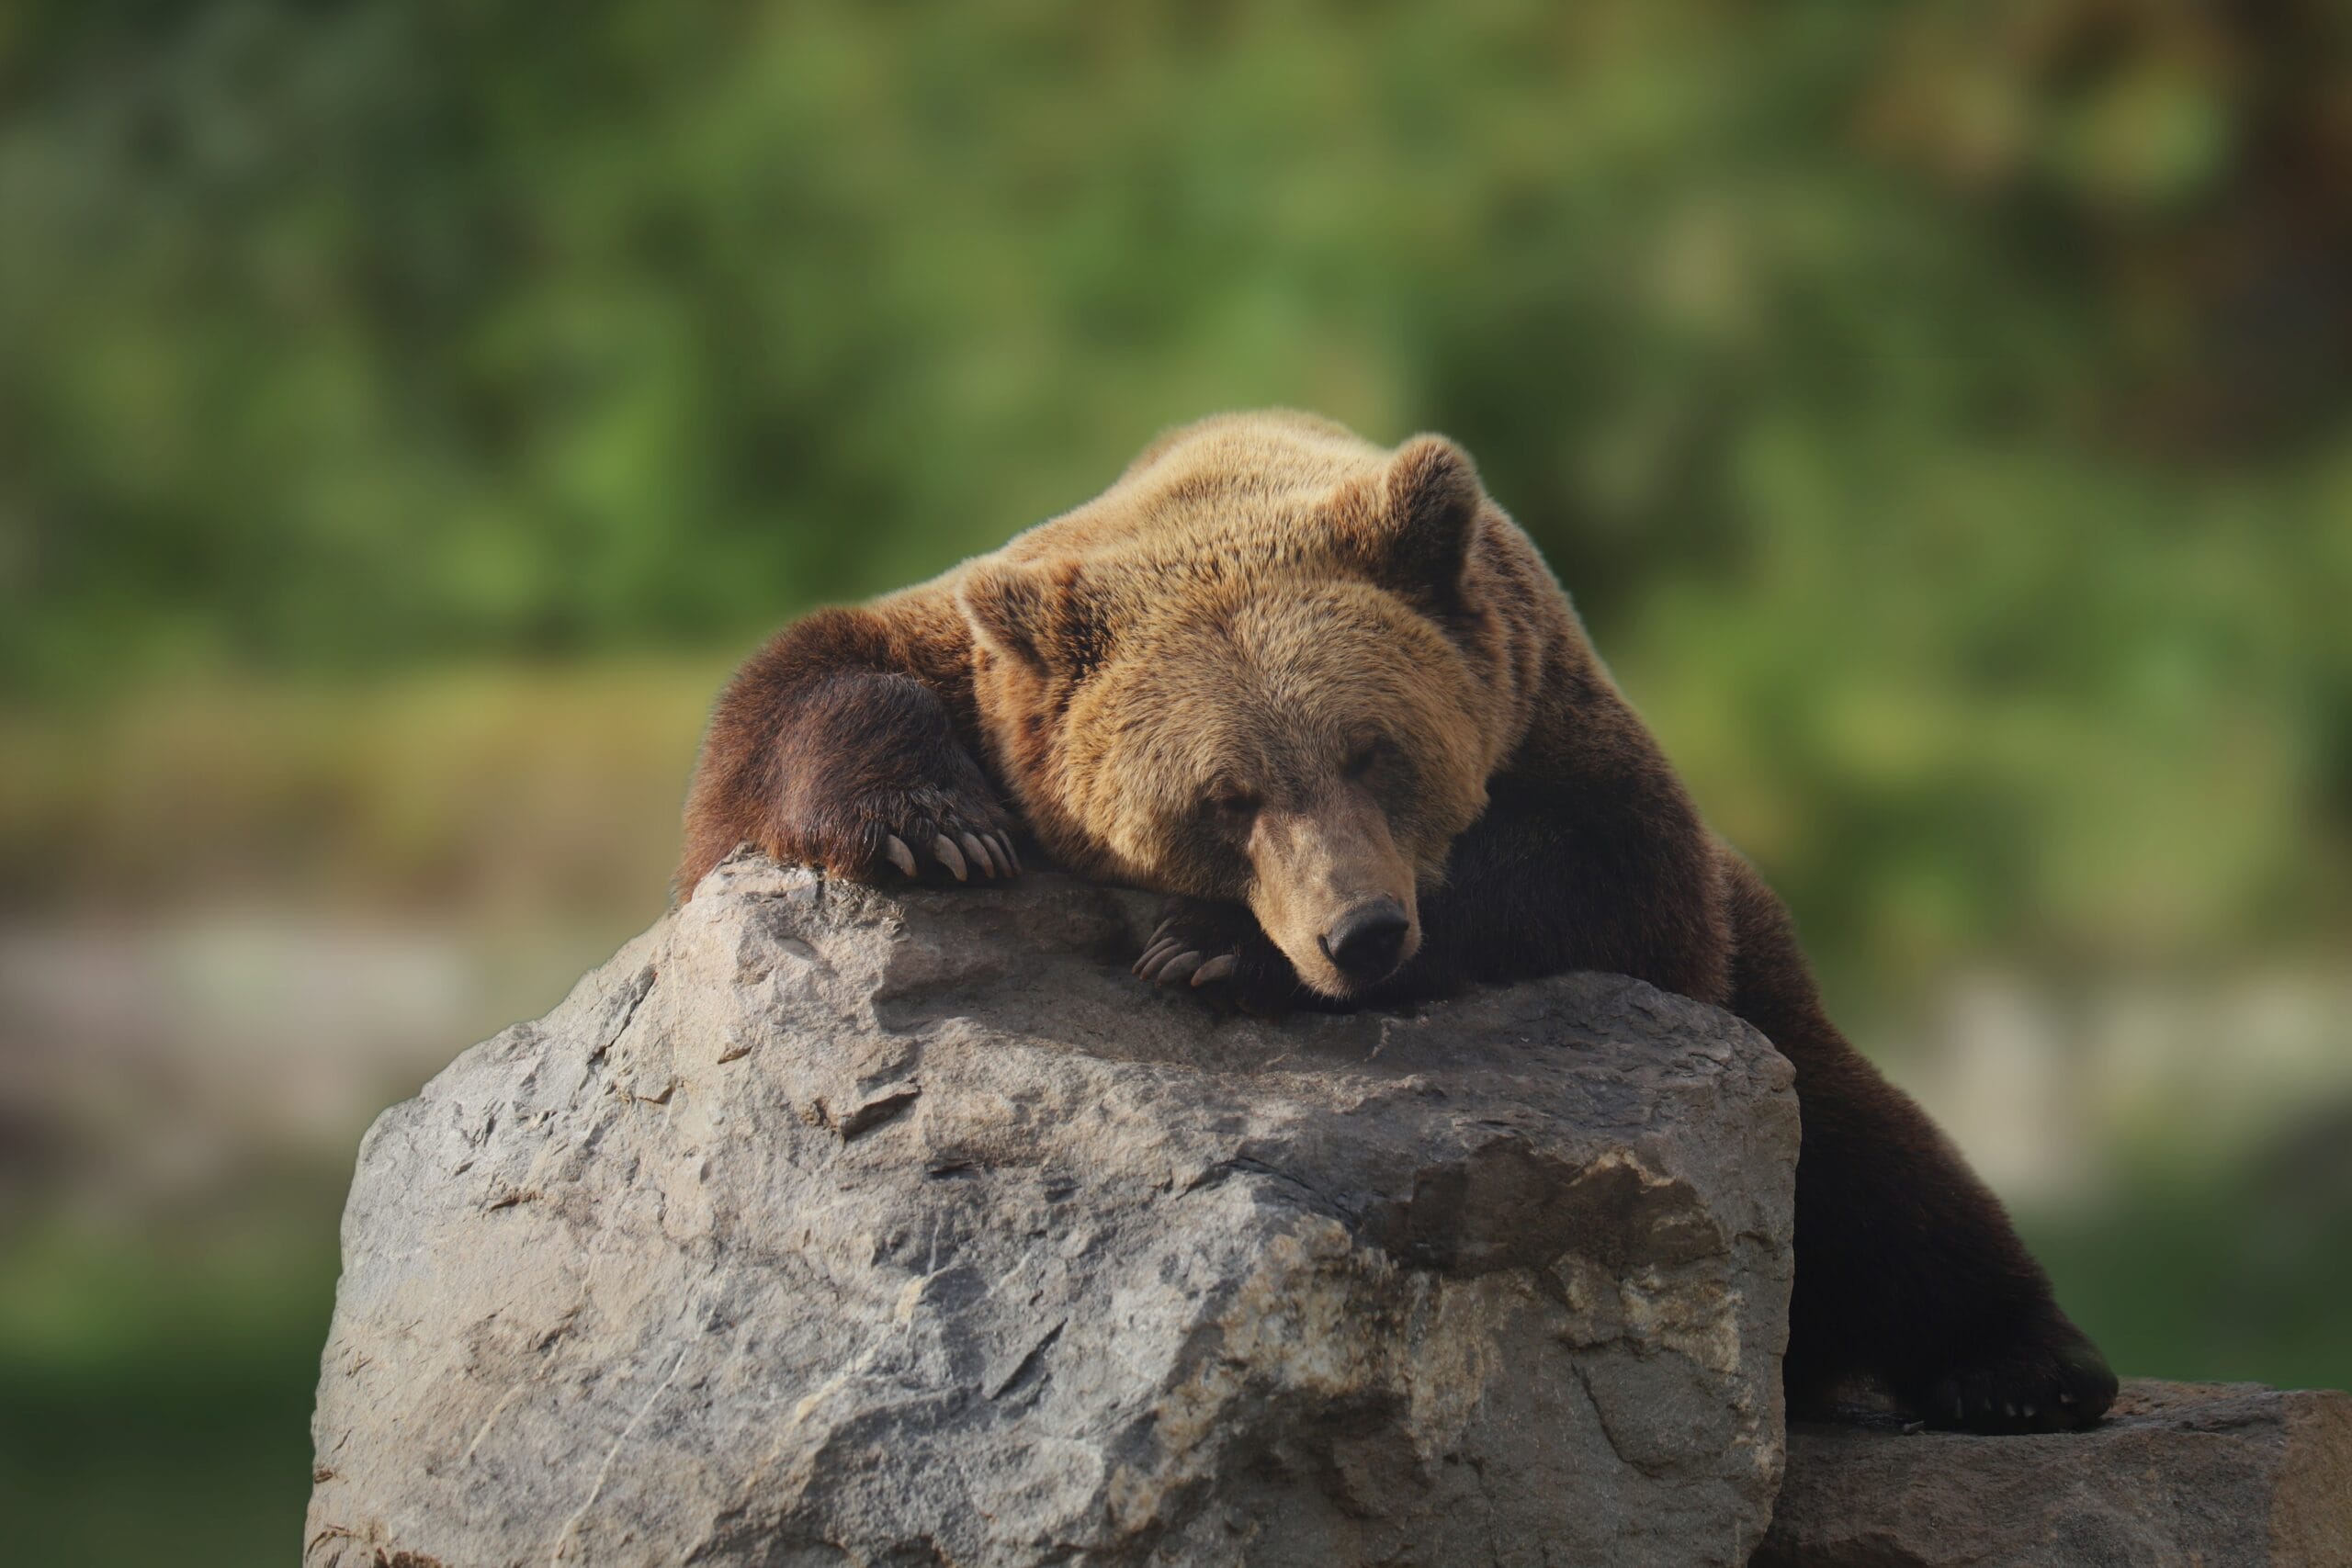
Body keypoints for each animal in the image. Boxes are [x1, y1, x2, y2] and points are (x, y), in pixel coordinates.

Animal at [678, 409, 2120, 1434]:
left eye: (1374, 750)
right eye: (1225, 794)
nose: (1358, 932)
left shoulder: (1559, 725)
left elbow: (1602, 871)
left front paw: (1213, 947)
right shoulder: (986, 661)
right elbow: (796, 687)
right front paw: (931, 824)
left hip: (1765, 981)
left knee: (1868, 1152)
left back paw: (2025, 1366)